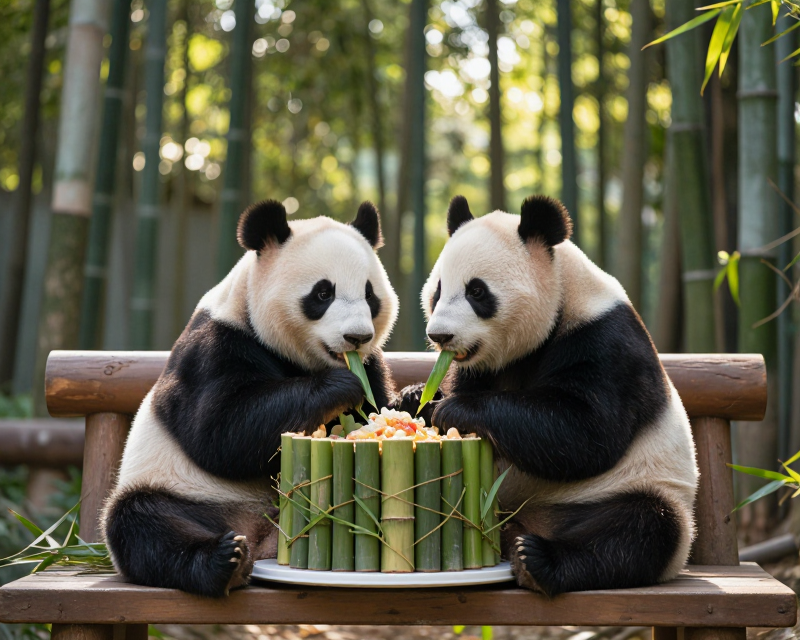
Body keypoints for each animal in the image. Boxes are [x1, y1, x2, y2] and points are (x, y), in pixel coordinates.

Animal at [103, 200, 399, 597]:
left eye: (370, 295)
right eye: (323, 294)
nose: (357, 337)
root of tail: (263, 539)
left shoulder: (372, 362)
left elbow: (377, 405)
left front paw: (413, 398)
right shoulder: (216, 346)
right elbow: (221, 432)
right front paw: (339, 386)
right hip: (183, 491)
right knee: (142, 524)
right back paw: (225, 561)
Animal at [421, 194, 699, 596]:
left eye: (477, 291)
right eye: (438, 290)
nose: (440, 335)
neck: (562, 292)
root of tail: (529, 520)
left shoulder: (605, 341)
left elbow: (585, 432)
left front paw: (454, 410)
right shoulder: (482, 366)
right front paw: (415, 399)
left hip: (638, 488)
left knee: (640, 529)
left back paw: (535, 560)